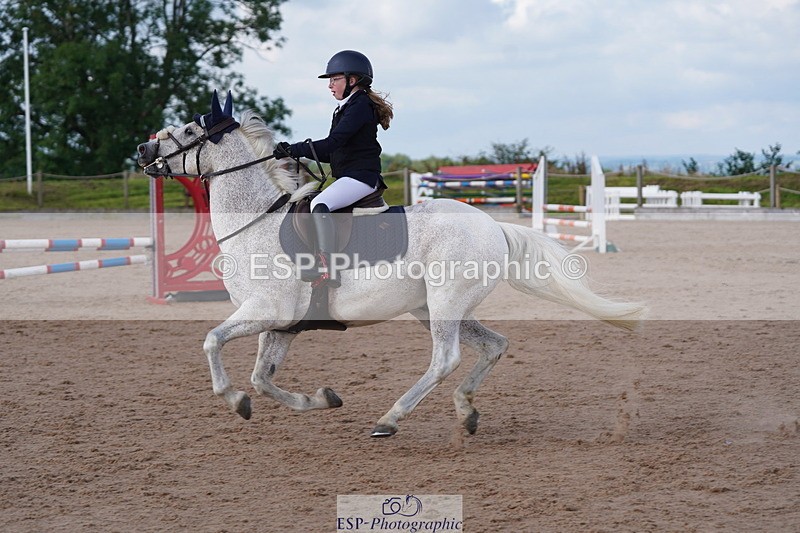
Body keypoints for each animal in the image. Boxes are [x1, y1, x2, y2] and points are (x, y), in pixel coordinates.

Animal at [137, 91, 646, 438]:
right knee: (494, 345)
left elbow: (212, 342)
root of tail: (491, 224)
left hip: (444, 303)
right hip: (434, 307)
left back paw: (390, 418)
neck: (256, 222)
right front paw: (321, 398)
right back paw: (465, 411)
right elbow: (263, 379)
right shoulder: (281, 324)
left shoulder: (266, 311)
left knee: (445, 358)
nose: (143, 151)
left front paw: (234, 400)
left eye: (189, 131)